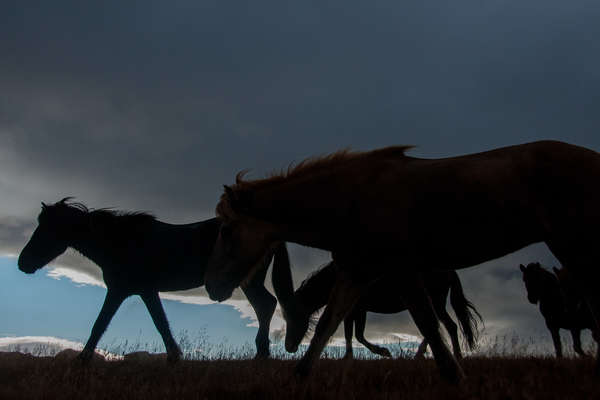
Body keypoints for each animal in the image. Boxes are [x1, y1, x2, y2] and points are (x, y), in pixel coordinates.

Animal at [18, 199, 278, 362]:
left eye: (47, 230)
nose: (23, 263)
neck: (119, 243)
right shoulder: (145, 291)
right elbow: (160, 323)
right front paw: (174, 357)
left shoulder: (120, 290)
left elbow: (100, 325)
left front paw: (82, 360)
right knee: (265, 305)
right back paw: (261, 354)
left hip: (249, 280)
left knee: (265, 305)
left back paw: (261, 354)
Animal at [270, 245, 480, 360]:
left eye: (294, 316)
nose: (289, 347)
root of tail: (449, 271)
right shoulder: (354, 310)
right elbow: (353, 334)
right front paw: (351, 357)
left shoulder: (356, 309)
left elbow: (355, 335)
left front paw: (383, 352)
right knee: (441, 326)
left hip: (436, 302)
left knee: (448, 326)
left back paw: (453, 355)